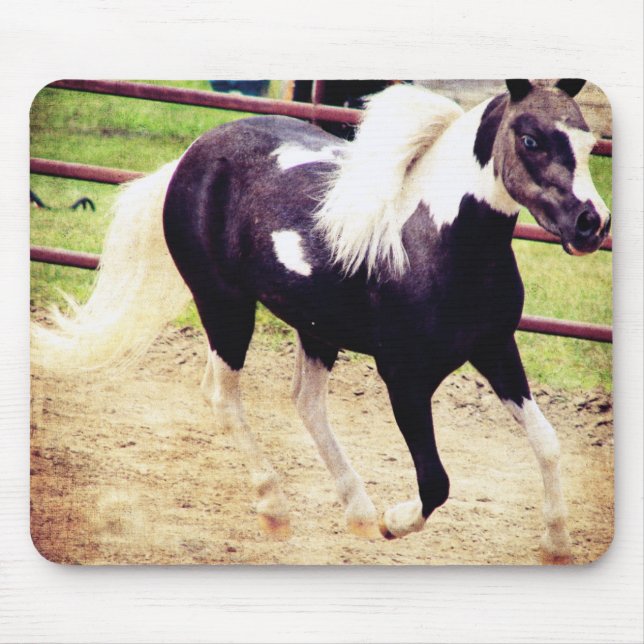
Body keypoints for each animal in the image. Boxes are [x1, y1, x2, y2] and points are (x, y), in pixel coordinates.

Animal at [32, 78, 611, 562]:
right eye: (531, 140)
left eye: (587, 143)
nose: (592, 225)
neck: (440, 241)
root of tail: (192, 155)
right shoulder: (404, 377)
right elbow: (435, 481)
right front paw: (394, 523)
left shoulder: (496, 349)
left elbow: (548, 443)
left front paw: (556, 546)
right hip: (225, 305)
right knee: (224, 395)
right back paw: (276, 509)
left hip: (314, 328)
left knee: (305, 402)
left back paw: (356, 512)